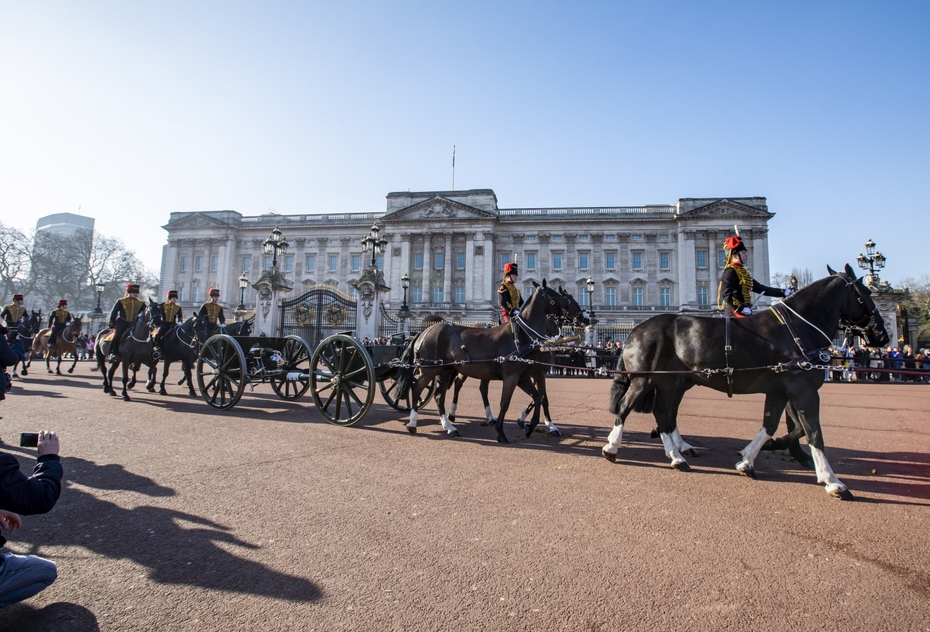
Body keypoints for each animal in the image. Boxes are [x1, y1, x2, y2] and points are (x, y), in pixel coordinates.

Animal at [394, 282, 580, 444]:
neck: (524, 336)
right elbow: (507, 403)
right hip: (430, 369)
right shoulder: (515, 376)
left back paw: (449, 426)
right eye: (555, 294)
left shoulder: (524, 377)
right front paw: (502, 432)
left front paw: (529, 426)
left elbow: (538, 397)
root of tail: (425, 330)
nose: (582, 315)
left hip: (445, 371)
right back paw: (413, 422)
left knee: (440, 395)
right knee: (417, 388)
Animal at [600, 264, 884, 502]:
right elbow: (813, 432)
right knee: (627, 407)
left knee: (663, 414)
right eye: (865, 294)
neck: (796, 330)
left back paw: (677, 455)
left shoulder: (781, 391)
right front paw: (832, 481)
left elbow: (774, 425)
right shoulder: (803, 390)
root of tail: (636, 329)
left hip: (670, 382)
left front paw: (750, 459)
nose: (881, 335)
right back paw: (613, 447)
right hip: (645, 379)